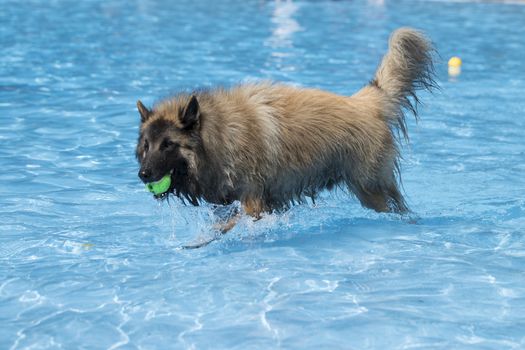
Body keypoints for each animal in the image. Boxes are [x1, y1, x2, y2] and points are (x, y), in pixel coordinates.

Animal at [135, 28, 434, 223]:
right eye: (147, 146)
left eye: (168, 145)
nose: (143, 174)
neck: (220, 133)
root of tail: (366, 102)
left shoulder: (252, 202)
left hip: (372, 190)